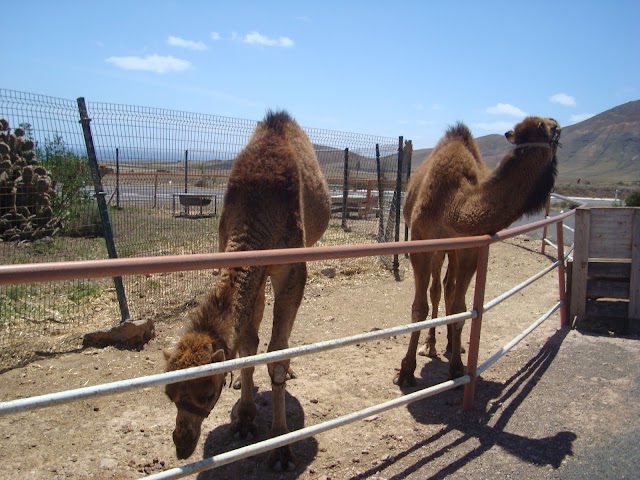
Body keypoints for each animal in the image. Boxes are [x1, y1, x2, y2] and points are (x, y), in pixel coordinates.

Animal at [162, 109, 332, 468]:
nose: (183, 444)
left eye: (207, 393)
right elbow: (247, 342)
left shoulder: (291, 270)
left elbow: (277, 353)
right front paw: (244, 417)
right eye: (170, 394)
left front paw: (281, 446)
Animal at [396, 117, 560, 386]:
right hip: (439, 249)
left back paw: (452, 345)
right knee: (437, 290)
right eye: (547, 128)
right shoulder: (421, 242)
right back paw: (430, 345)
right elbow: (419, 308)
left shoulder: (470, 249)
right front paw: (406, 371)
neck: (454, 205)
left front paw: (457, 368)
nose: (556, 123)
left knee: (449, 289)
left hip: (452, 250)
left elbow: (461, 308)